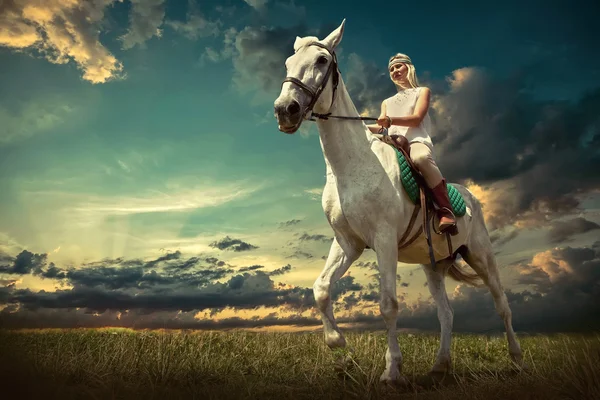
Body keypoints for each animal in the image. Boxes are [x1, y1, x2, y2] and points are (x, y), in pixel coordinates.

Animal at [274, 19, 524, 384]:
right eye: (288, 63)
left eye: (322, 60)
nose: (285, 110)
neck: (352, 166)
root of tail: (470, 197)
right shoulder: (348, 243)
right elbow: (320, 289)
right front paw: (340, 346)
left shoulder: (383, 240)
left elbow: (388, 305)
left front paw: (392, 370)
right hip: (434, 266)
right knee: (446, 313)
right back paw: (440, 366)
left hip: (481, 255)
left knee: (502, 305)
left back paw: (517, 359)